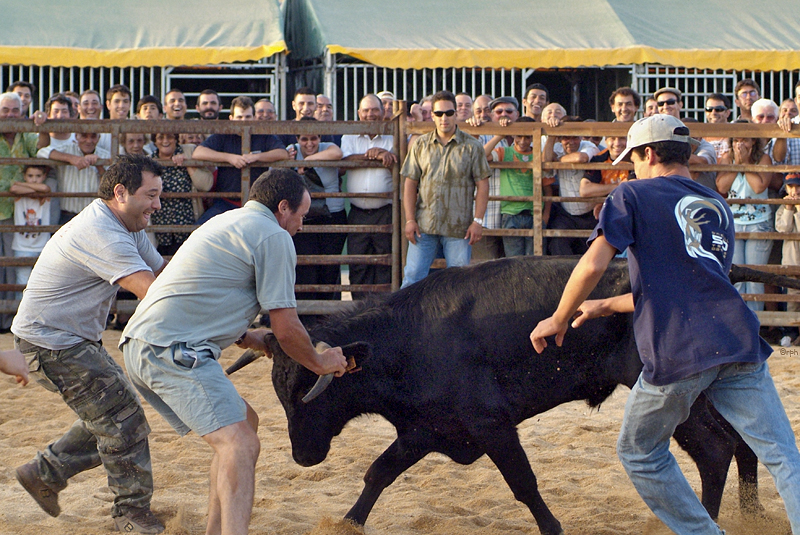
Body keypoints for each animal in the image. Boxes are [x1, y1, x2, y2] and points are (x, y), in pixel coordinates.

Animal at [231, 258, 792, 532]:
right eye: (279, 392)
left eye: (311, 391)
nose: (303, 457)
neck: (408, 338)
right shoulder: (424, 430)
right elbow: (378, 473)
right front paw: (347, 522)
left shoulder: (491, 425)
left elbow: (523, 484)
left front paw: (553, 527)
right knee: (740, 444)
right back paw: (748, 513)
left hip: (672, 395)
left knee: (715, 448)